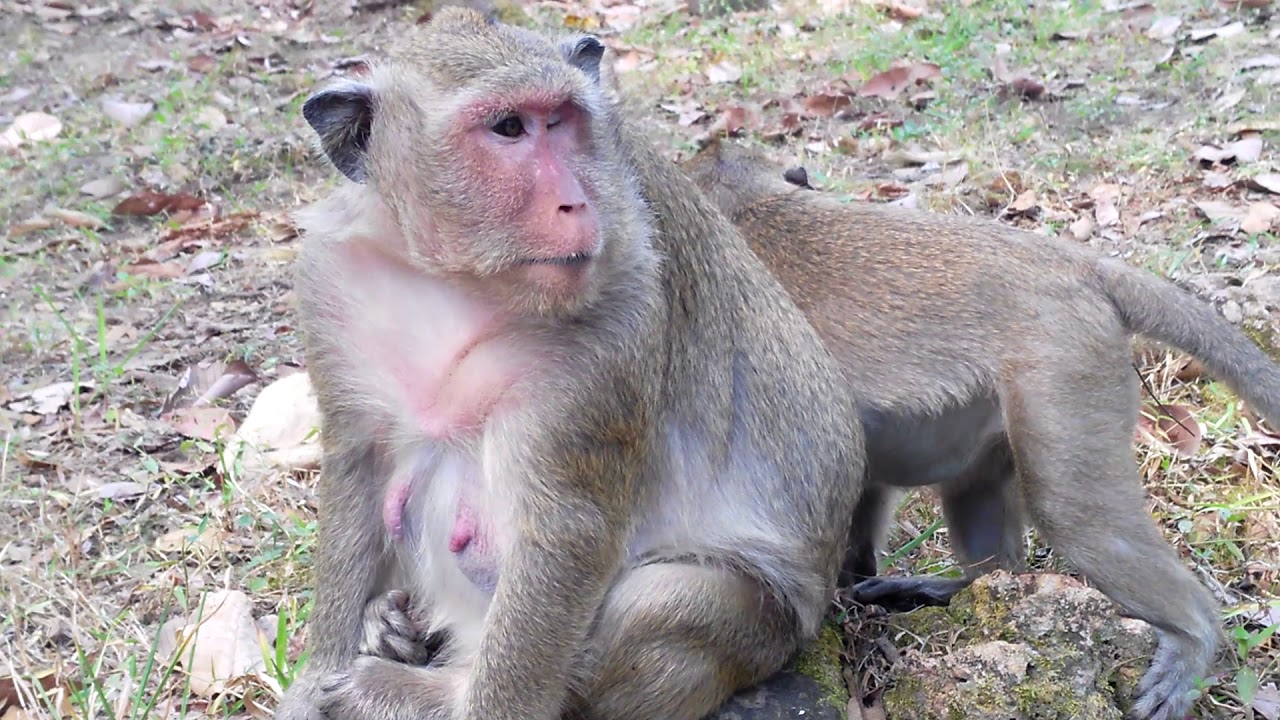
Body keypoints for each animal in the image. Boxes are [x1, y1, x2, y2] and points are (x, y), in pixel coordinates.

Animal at [273, 10, 865, 720]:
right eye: (508, 128)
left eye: (561, 120)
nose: (575, 203)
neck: (454, 279)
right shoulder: (328, 283)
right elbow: (357, 469)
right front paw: (317, 677)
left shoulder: (616, 320)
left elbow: (567, 532)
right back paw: (388, 627)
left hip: (761, 626)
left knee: (659, 602)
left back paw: (414, 687)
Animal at [677, 138, 1280, 720]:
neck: (754, 205)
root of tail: (1072, 263)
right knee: (979, 493)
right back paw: (966, 586)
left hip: (1064, 366)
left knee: (1077, 515)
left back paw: (1192, 638)